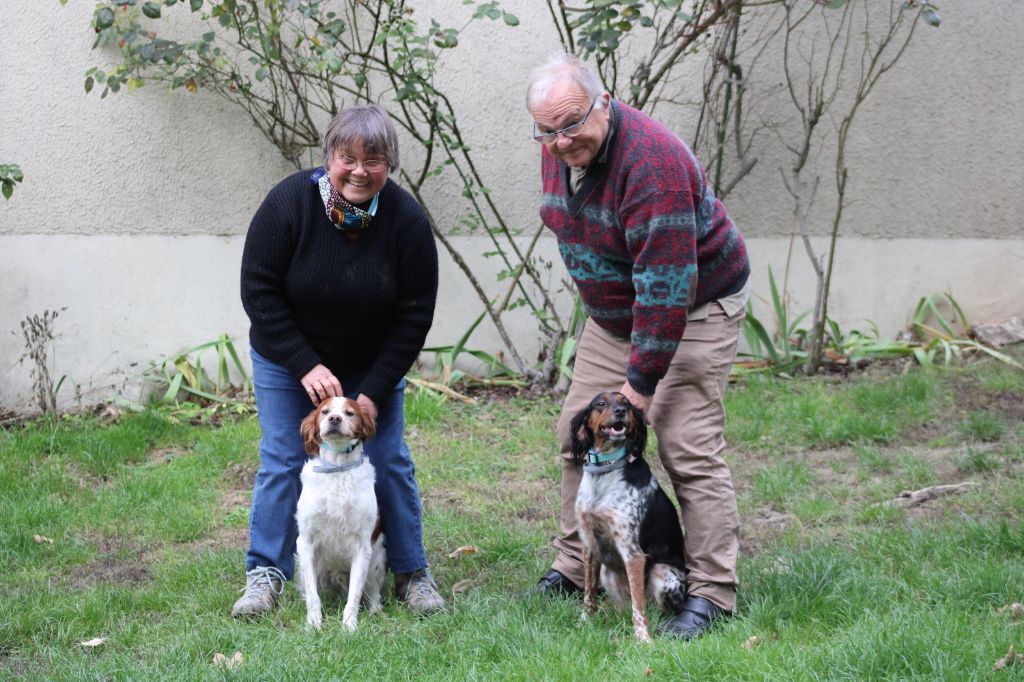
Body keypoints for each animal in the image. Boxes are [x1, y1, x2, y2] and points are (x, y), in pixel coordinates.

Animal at [299, 395, 387, 630]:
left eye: (350, 413)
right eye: (325, 411)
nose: (335, 419)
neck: (337, 469)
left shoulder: (362, 546)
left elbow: (355, 595)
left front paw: (349, 626)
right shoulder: (305, 542)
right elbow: (312, 594)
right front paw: (313, 624)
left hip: (376, 560)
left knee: (373, 592)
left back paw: (376, 611)